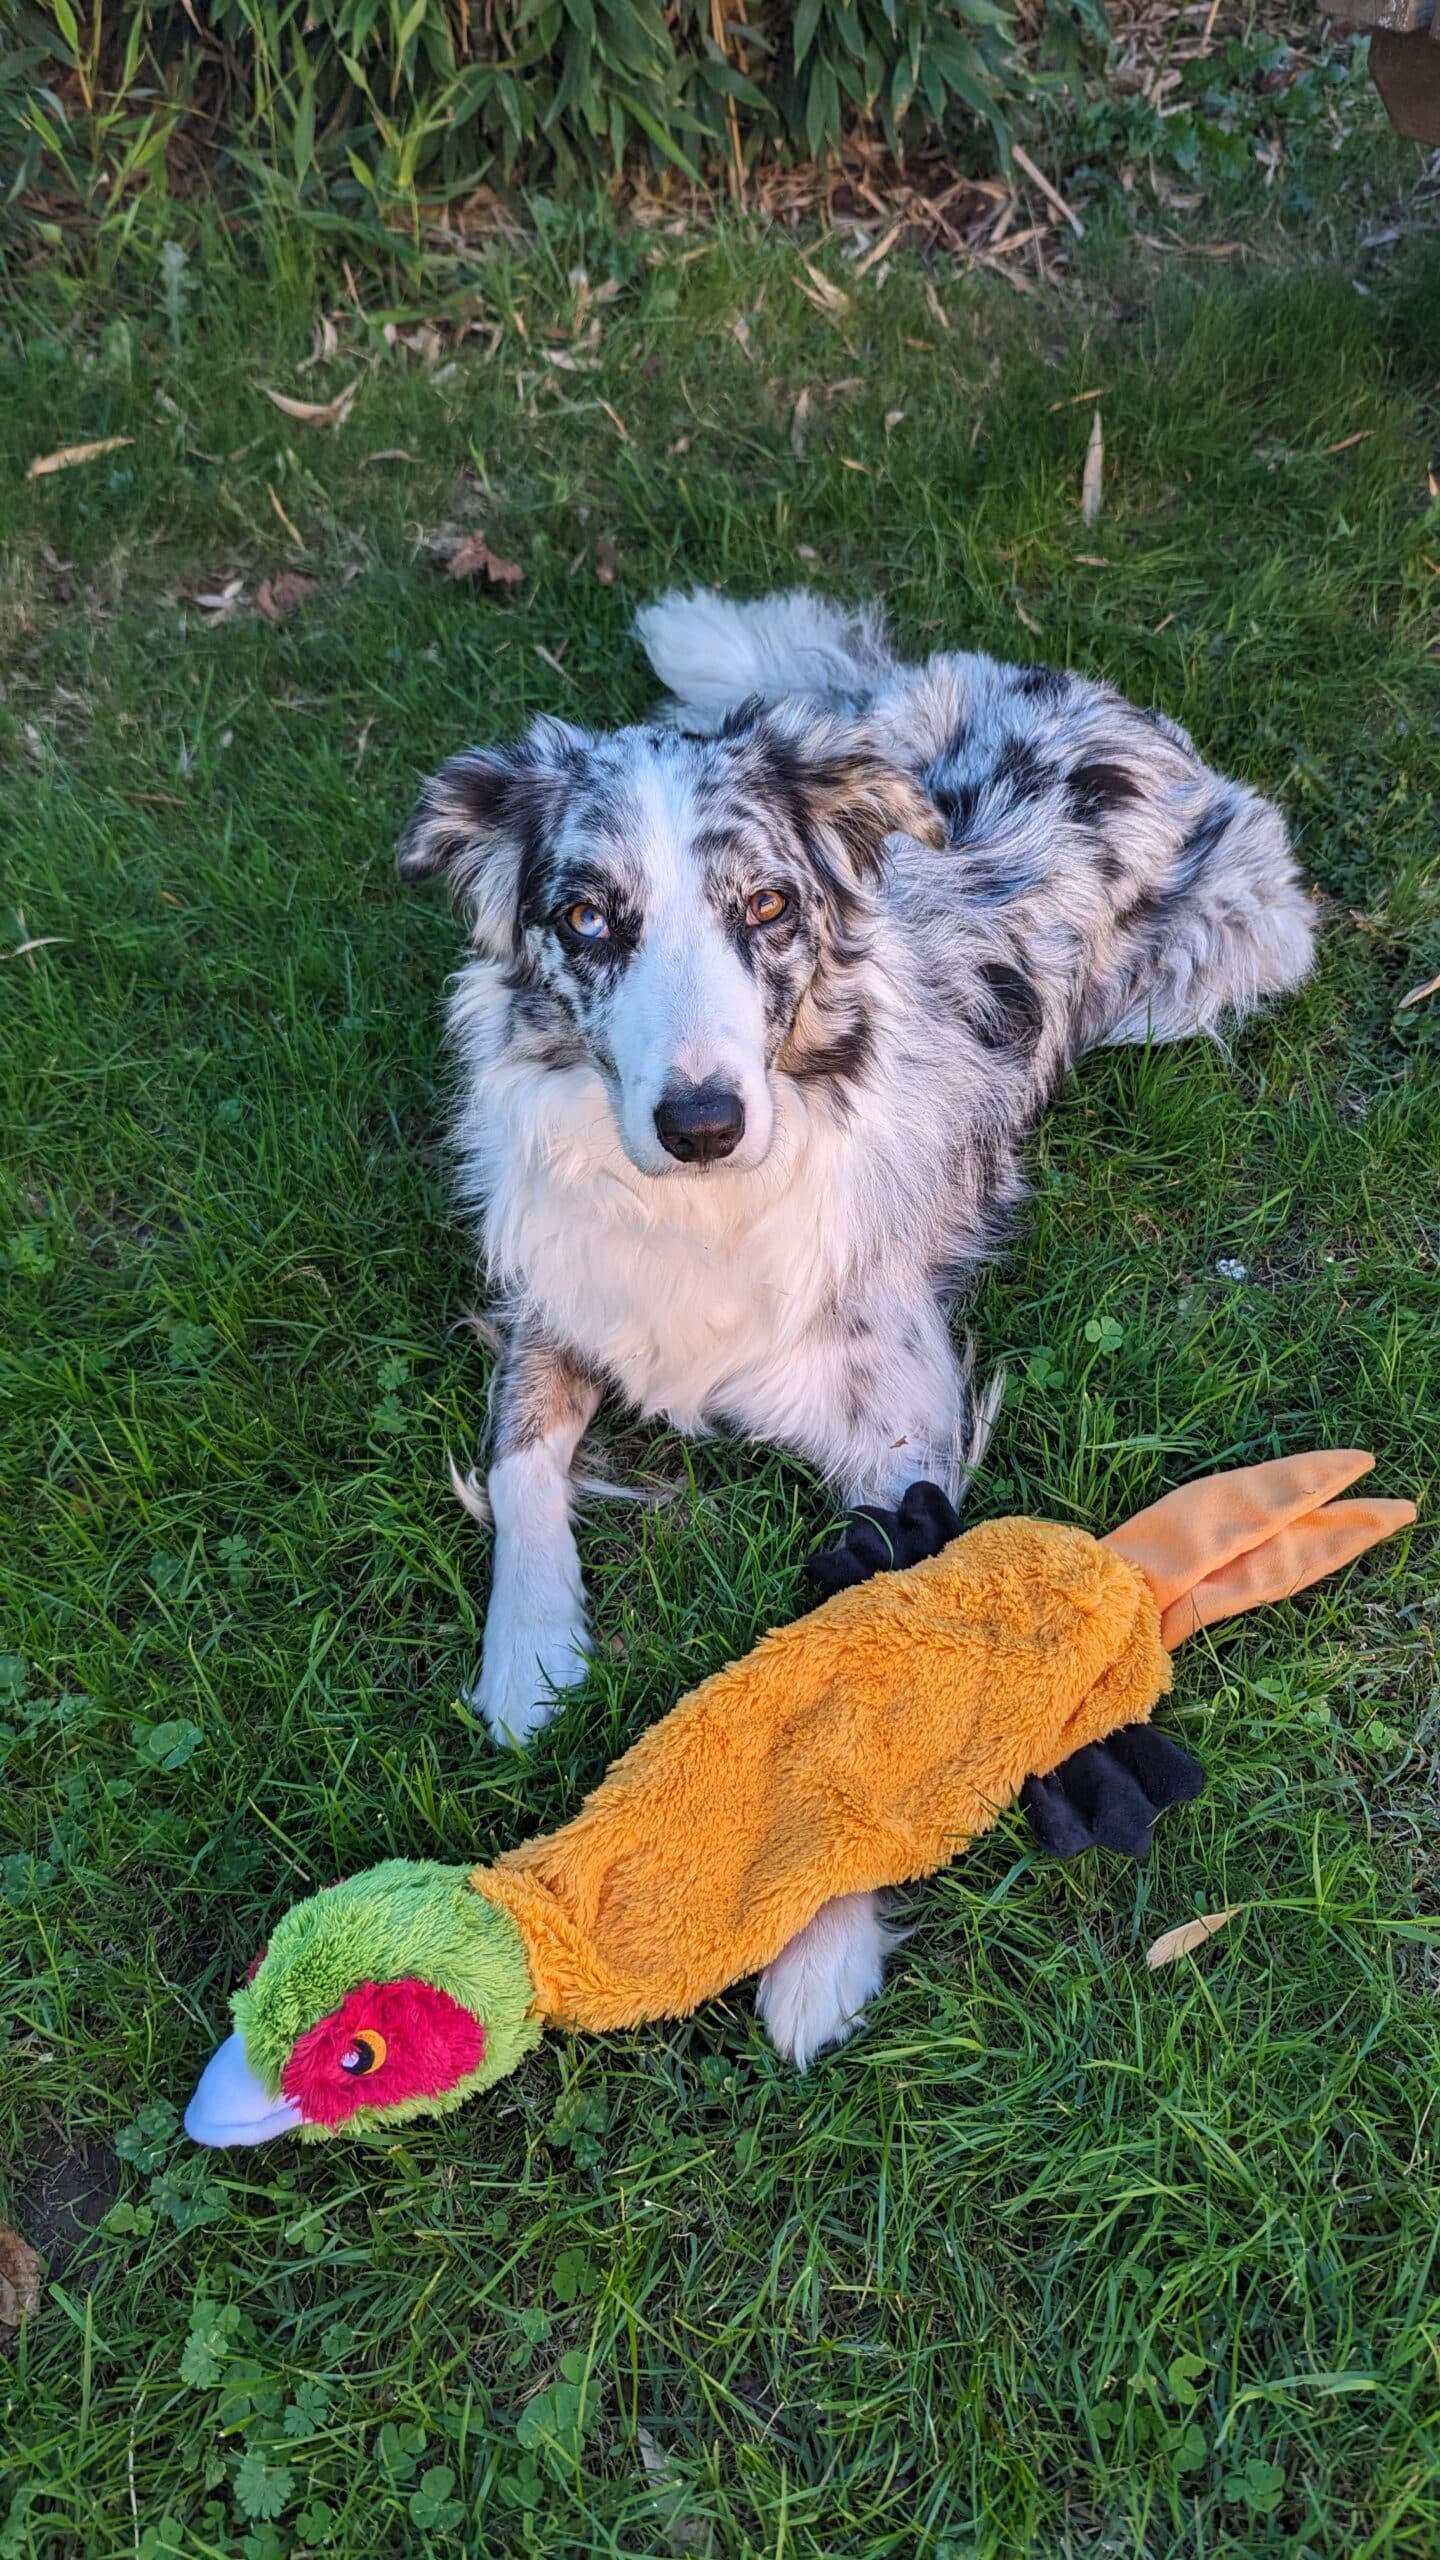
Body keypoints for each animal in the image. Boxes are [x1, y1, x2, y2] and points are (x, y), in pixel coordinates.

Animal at [394, 588, 1311, 2068]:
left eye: (768, 906)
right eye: (587, 919)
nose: (702, 1122)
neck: (706, 1213)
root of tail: (1085, 693)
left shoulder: (903, 1425)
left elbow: (887, 1654)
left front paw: (818, 1951)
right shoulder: (553, 1294)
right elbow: (527, 1472)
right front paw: (528, 1657)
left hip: (1226, 955)